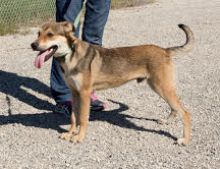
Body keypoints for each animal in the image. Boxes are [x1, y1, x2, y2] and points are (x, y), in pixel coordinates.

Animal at [31, 21, 194, 145]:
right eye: (38, 33)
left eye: (50, 34)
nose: (33, 45)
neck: (71, 55)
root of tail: (165, 50)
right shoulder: (74, 93)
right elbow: (73, 117)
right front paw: (70, 133)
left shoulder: (84, 94)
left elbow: (82, 119)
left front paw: (79, 137)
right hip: (159, 87)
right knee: (175, 108)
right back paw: (167, 122)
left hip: (162, 88)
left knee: (185, 112)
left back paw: (184, 140)